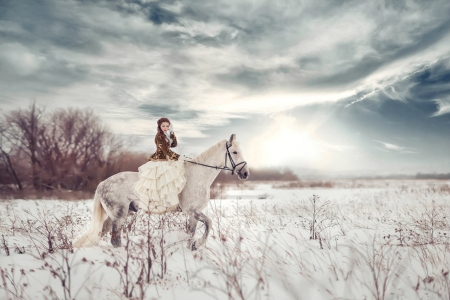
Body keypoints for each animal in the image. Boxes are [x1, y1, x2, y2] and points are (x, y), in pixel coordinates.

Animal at [74, 135, 250, 250]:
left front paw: (191, 247)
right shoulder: (192, 210)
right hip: (119, 214)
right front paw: (197, 245)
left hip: (120, 214)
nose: (246, 174)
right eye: (235, 152)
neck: (198, 175)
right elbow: (209, 223)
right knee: (114, 239)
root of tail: (102, 184)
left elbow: (191, 233)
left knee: (102, 232)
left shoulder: (193, 214)